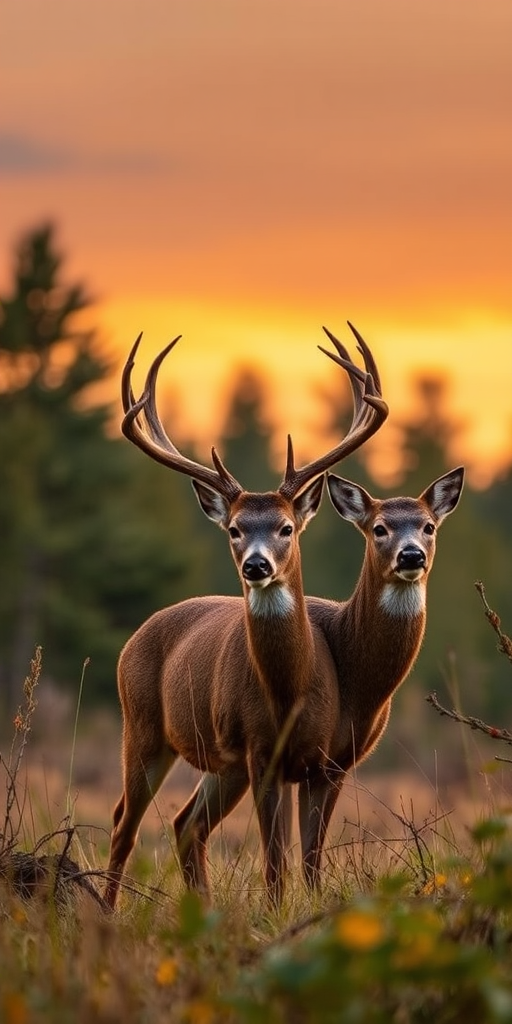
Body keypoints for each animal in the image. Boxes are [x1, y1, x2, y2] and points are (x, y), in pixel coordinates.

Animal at [104, 323, 388, 910]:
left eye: (285, 527)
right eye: (235, 529)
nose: (257, 564)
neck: (289, 690)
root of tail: (136, 637)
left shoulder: (319, 762)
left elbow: (308, 862)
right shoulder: (261, 752)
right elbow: (275, 862)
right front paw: (279, 914)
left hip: (221, 762)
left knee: (185, 824)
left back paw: (201, 908)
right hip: (143, 726)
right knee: (125, 824)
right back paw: (106, 911)